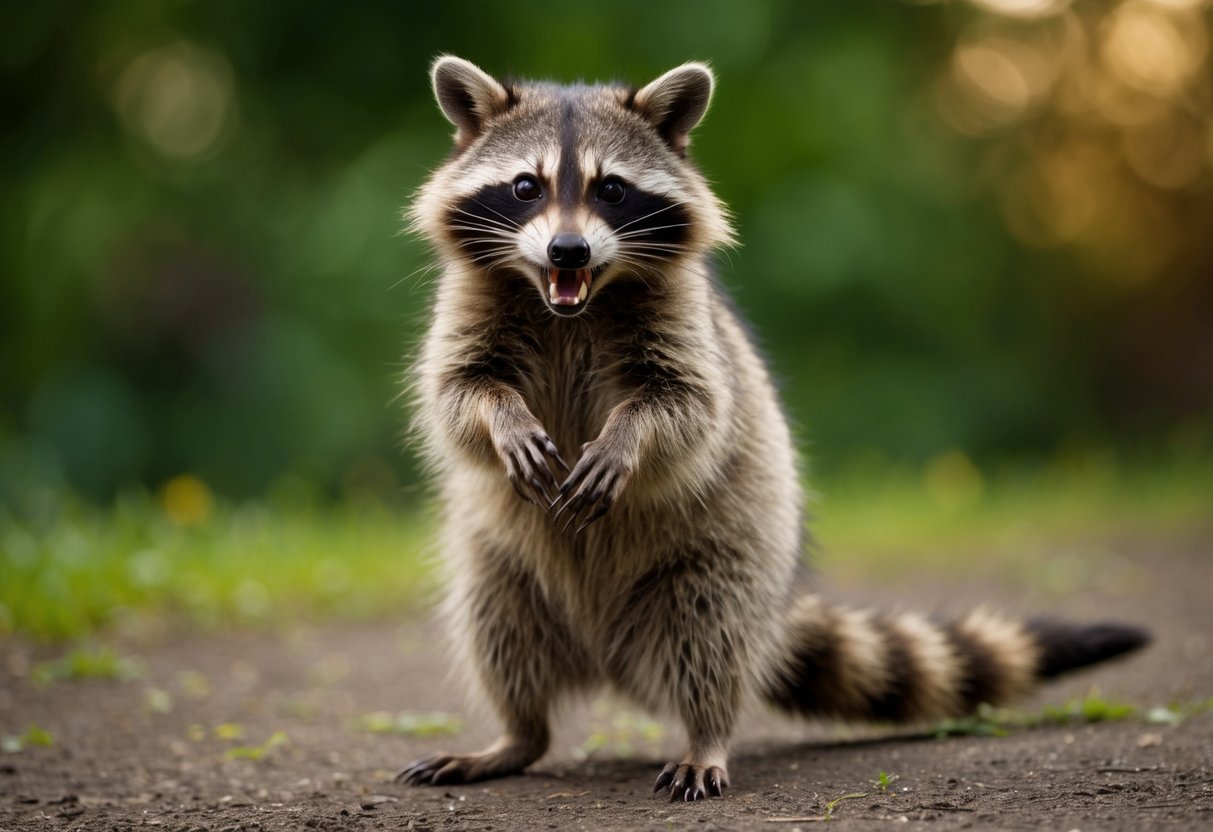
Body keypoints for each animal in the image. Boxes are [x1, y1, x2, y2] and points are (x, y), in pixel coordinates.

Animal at [396, 56, 1149, 801]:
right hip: (499, 567)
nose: (568, 251)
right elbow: (455, 394)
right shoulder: (469, 305)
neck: (573, 305)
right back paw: (516, 735)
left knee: (709, 638)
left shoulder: (687, 324)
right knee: (499, 633)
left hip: (728, 554)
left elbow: (690, 407)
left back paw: (704, 732)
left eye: (612, 190)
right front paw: (503, 419)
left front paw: (625, 439)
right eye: (526, 186)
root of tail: (606, 657)